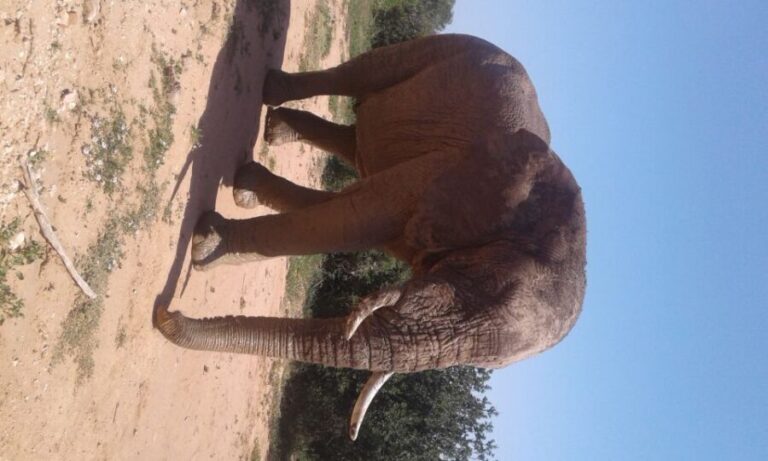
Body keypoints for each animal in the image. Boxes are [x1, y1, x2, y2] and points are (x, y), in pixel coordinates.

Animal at [154, 34, 586, 440]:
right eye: (472, 284)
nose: (166, 313)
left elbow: (354, 216)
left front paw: (213, 236)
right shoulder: (461, 177)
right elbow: (362, 214)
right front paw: (207, 247)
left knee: (357, 143)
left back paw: (266, 150)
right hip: (449, 48)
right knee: (365, 73)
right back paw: (271, 101)